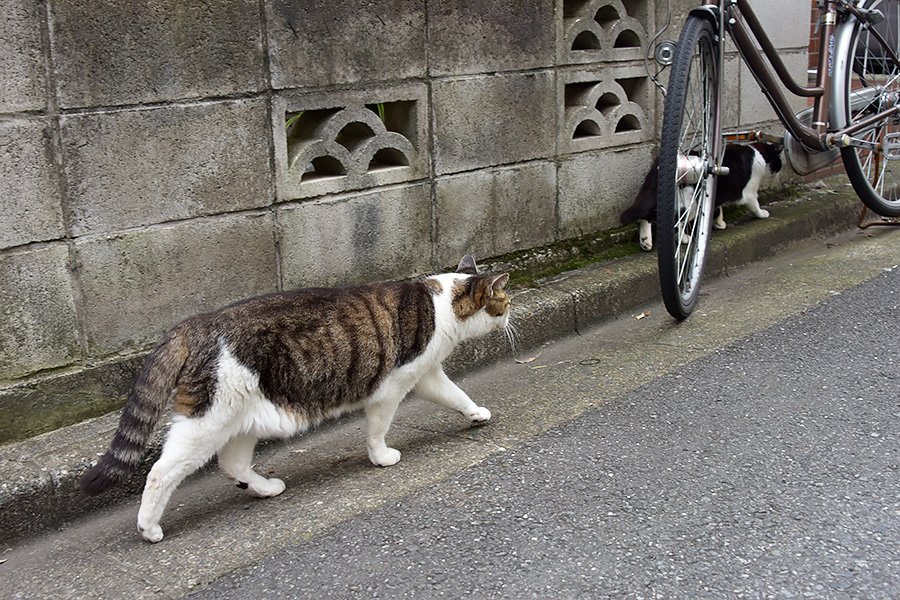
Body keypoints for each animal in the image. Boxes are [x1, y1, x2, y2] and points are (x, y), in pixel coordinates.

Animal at [81, 255, 510, 540]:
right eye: (505, 302)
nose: (511, 315)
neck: (442, 306)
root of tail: (194, 323)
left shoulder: (427, 375)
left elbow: (456, 395)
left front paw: (476, 414)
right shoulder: (393, 386)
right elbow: (377, 429)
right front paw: (381, 457)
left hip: (244, 418)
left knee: (232, 464)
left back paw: (266, 488)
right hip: (208, 421)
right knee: (159, 472)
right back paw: (149, 527)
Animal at [624, 142, 784, 250]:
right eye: (779, 163)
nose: (778, 173)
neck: (759, 153)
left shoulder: (716, 194)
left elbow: (718, 209)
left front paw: (719, 223)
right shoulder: (749, 192)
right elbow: (754, 205)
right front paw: (762, 214)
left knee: (647, 213)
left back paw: (645, 241)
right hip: (690, 202)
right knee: (677, 221)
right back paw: (684, 239)